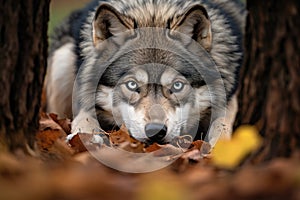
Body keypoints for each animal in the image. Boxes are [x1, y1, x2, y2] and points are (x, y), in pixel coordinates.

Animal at [45, 0, 246, 146]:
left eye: (177, 85)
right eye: (132, 84)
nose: (155, 131)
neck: (154, 9)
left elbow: (222, 124)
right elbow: (83, 117)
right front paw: (86, 137)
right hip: (62, 61)